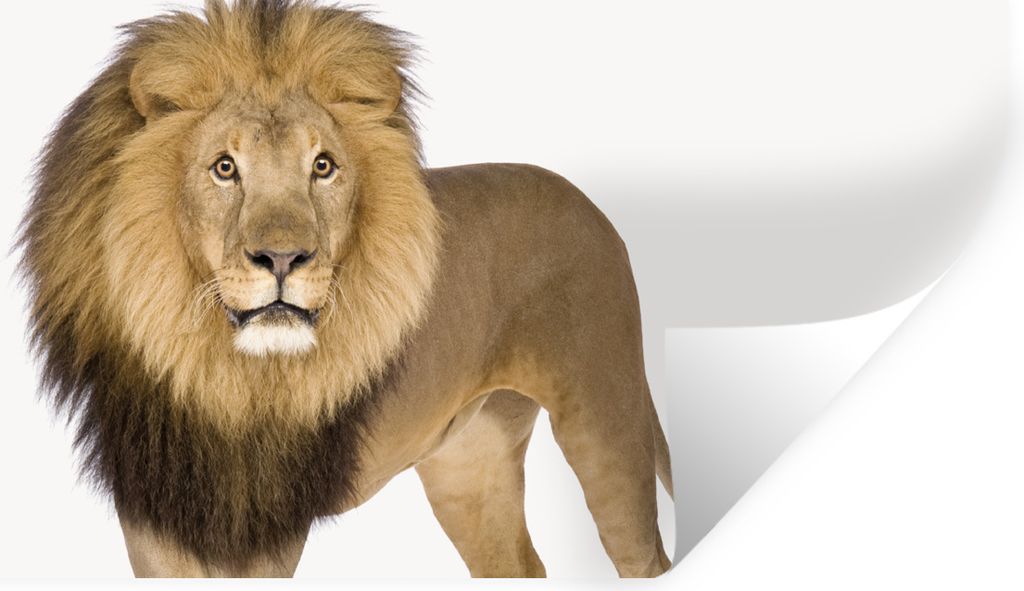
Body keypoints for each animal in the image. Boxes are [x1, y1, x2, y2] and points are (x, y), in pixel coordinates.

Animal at [18, 0, 672, 578]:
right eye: (225, 167)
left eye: (323, 166)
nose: (283, 258)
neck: (217, 376)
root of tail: (587, 203)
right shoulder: (156, 513)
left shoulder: (268, 527)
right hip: (469, 458)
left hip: (604, 418)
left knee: (644, 555)